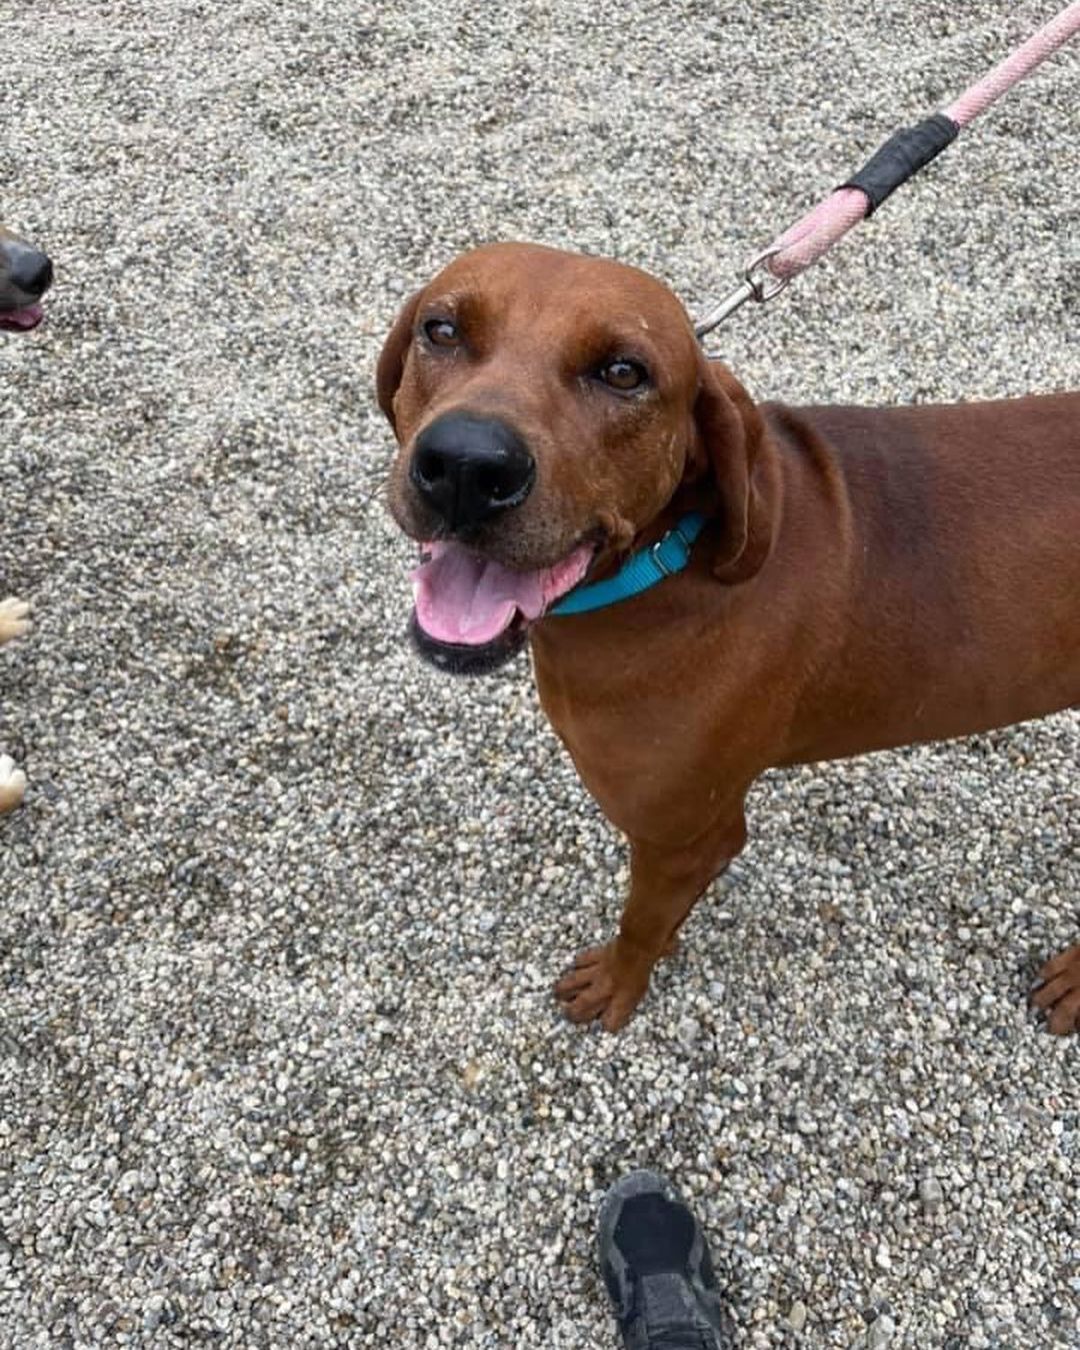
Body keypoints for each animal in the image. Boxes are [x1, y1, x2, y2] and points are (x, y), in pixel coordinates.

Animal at [378, 245, 1080, 1031]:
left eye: (624, 372)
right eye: (441, 330)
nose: (467, 466)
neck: (665, 562)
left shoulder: (684, 836)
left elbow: (641, 921)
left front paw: (619, 982)